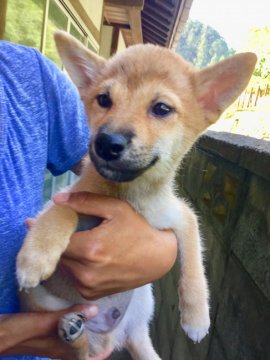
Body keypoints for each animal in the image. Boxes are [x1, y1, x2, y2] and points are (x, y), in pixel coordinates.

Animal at [15, 31, 256, 360]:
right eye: (104, 100)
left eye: (162, 108)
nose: (106, 142)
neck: (131, 197)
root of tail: (112, 336)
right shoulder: (66, 197)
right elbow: (62, 211)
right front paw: (35, 257)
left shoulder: (180, 214)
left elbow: (194, 260)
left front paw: (196, 316)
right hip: (43, 304)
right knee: (77, 349)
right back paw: (70, 327)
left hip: (143, 300)